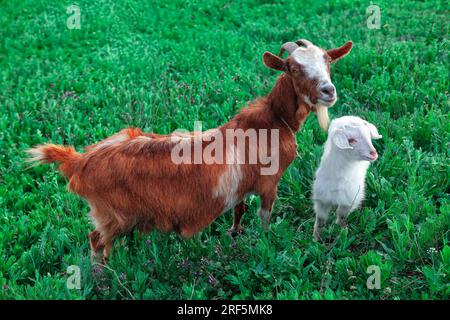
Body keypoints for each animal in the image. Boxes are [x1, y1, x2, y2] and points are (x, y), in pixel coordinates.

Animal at [26, 39, 354, 262]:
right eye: (295, 68)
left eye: (328, 62)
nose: (328, 91)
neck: (274, 119)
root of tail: (79, 161)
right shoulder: (268, 183)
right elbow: (264, 216)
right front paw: (266, 242)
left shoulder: (241, 185)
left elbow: (239, 210)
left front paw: (234, 236)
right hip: (111, 215)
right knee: (96, 240)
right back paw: (104, 276)